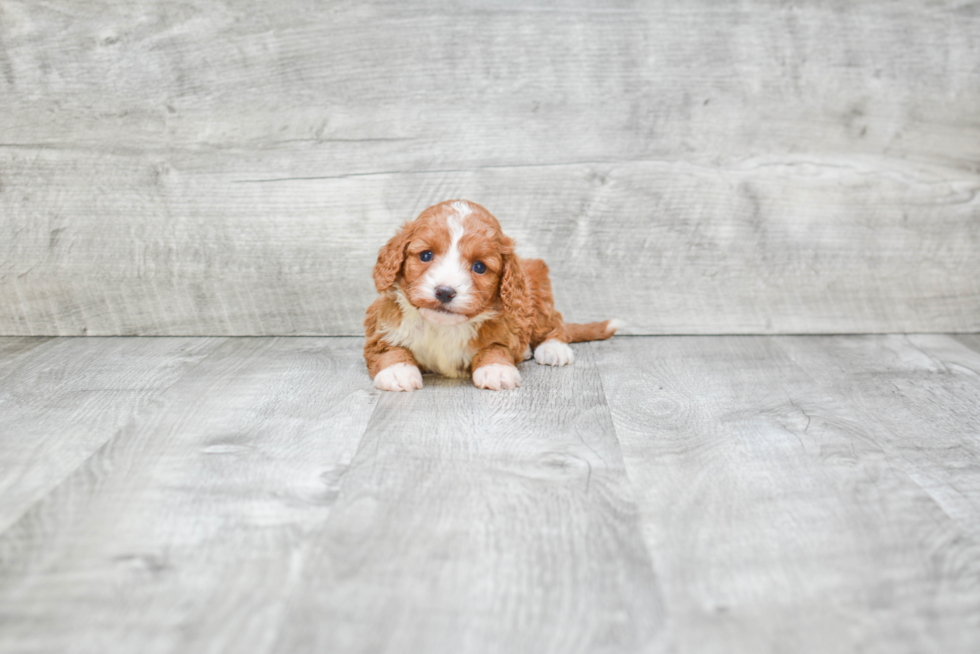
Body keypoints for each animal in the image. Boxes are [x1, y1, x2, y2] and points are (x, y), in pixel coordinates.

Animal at [364, 200, 624, 392]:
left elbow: (496, 349)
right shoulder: (380, 326)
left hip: (537, 294)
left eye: (479, 267)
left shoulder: (506, 329)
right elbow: (389, 350)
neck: (443, 326)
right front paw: (398, 371)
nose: (445, 292)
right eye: (426, 255)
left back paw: (553, 348)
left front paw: (496, 369)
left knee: (553, 323)